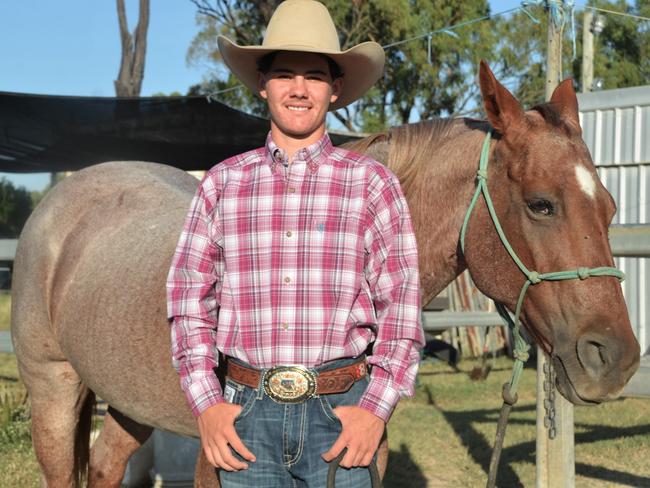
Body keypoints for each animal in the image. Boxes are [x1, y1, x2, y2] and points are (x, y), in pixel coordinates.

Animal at [11, 62, 636, 488]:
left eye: (610, 206)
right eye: (540, 204)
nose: (617, 359)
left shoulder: (363, 449)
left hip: (126, 402)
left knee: (105, 466)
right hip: (53, 390)